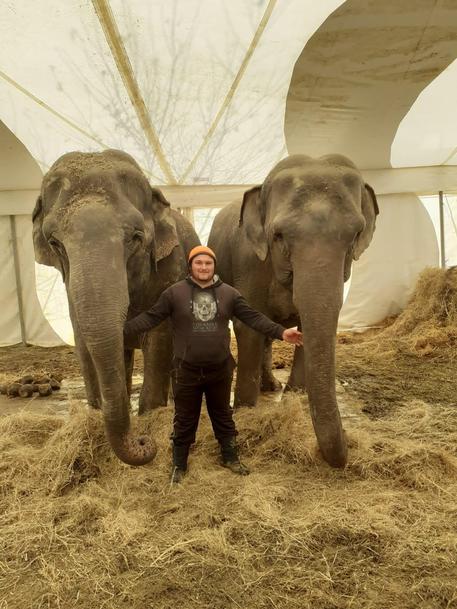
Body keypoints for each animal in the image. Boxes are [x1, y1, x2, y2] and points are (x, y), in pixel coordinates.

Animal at [33, 148, 200, 466]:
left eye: (136, 237)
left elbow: (159, 339)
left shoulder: (171, 269)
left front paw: (150, 416)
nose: (145, 441)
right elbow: (84, 341)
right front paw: (96, 415)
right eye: (54, 242)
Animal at [208, 152, 378, 466]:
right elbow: (248, 325)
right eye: (278, 235)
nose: (348, 437)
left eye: (355, 235)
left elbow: (304, 326)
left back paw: (273, 388)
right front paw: (245, 411)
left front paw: (294, 397)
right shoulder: (248, 262)